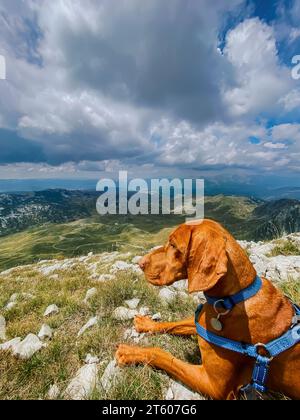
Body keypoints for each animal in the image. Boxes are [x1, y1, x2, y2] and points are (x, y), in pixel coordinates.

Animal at [115, 220, 300, 400]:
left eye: (173, 245)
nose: (140, 263)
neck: (230, 300)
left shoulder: (214, 385)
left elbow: (161, 353)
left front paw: (130, 351)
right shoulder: (202, 322)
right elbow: (174, 324)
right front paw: (146, 323)